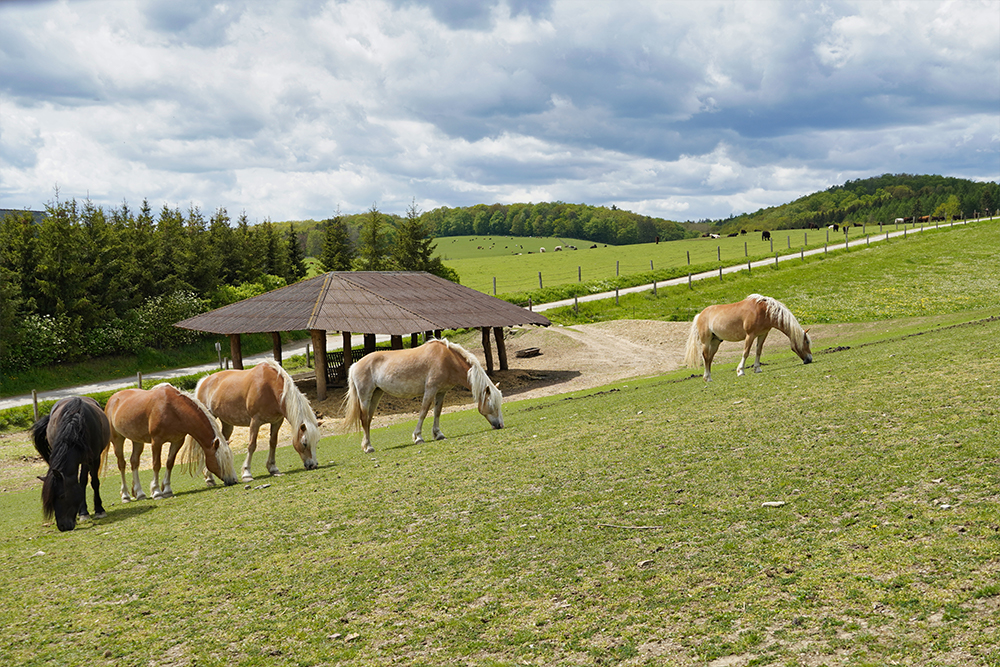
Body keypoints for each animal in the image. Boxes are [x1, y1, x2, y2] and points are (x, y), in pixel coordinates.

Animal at [31, 396, 110, 532]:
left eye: (62, 496)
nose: (62, 527)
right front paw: (83, 512)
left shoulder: (94, 459)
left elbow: (93, 482)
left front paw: (99, 510)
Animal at [103, 380, 236, 500]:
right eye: (220, 460)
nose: (233, 480)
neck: (173, 409)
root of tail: (112, 399)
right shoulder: (156, 442)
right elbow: (156, 465)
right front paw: (156, 492)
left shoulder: (177, 442)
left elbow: (169, 463)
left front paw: (167, 490)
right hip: (118, 440)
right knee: (122, 464)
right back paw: (125, 495)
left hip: (137, 441)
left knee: (134, 462)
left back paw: (140, 494)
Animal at [344, 340, 504, 454]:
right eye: (492, 405)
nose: (500, 426)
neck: (447, 359)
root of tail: (355, 365)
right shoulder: (430, 390)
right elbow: (424, 411)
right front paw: (418, 437)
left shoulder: (441, 392)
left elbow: (437, 412)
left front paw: (438, 434)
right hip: (365, 396)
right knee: (364, 419)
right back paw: (369, 447)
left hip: (376, 394)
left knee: (368, 419)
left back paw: (367, 445)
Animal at [684, 292, 816, 380]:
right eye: (806, 342)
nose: (809, 359)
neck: (764, 310)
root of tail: (700, 315)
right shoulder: (750, 335)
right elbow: (746, 352)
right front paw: (740, 371)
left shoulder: (762, 334)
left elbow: (758, 351)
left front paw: (757, 368)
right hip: (706, 342)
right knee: (706, 357)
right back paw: (707, 377)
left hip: (716, 341)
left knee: (710, 357)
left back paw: (709, 377)